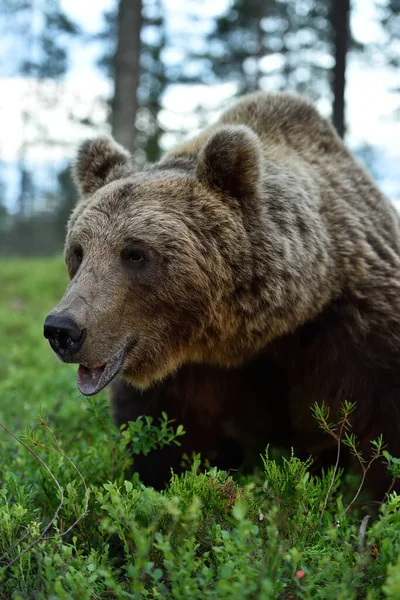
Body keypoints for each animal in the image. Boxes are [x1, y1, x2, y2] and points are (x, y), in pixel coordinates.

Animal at [43, 91, 400, 490]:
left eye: (134, 253)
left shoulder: (357, 332)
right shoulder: (187, 378)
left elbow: (384, 432)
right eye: (78, 251)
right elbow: (167, 442)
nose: (63, 329)